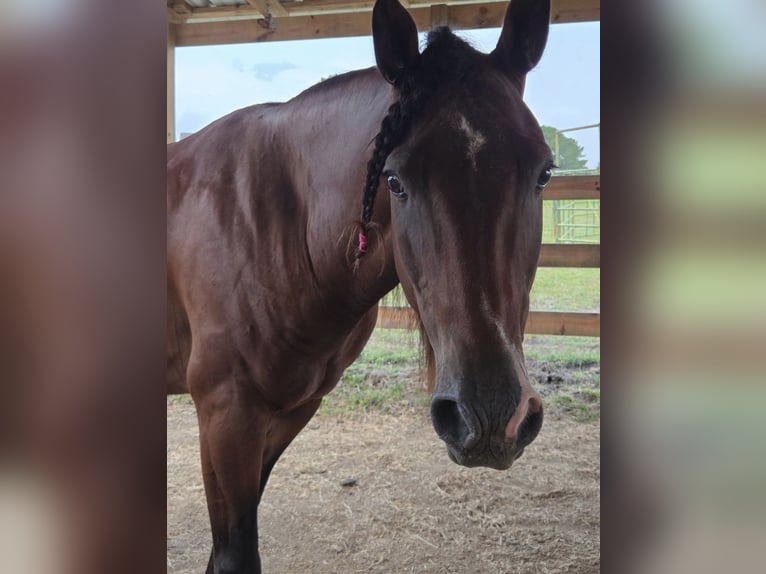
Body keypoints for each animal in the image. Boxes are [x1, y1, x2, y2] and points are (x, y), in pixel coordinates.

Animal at [167, 0, 552, 571]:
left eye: (544, 172)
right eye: (394, 180)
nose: (489, 414)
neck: (278, 221)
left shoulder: (289, 411)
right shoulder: (224, 414)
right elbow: (235, 553)